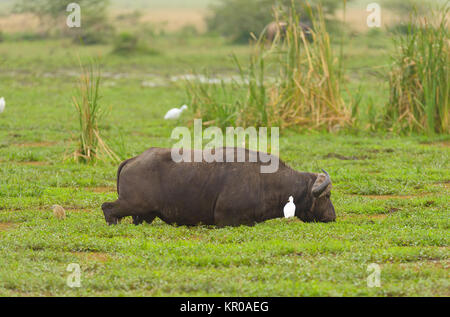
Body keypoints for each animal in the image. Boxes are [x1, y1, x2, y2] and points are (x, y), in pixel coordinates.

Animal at [101, 147, 334, 226]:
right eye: (327, 196)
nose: (332, 216)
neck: (265, 181)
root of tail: (134, 159)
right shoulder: (227, 220)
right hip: (133, 204)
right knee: (107, 207)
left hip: (143, 214)